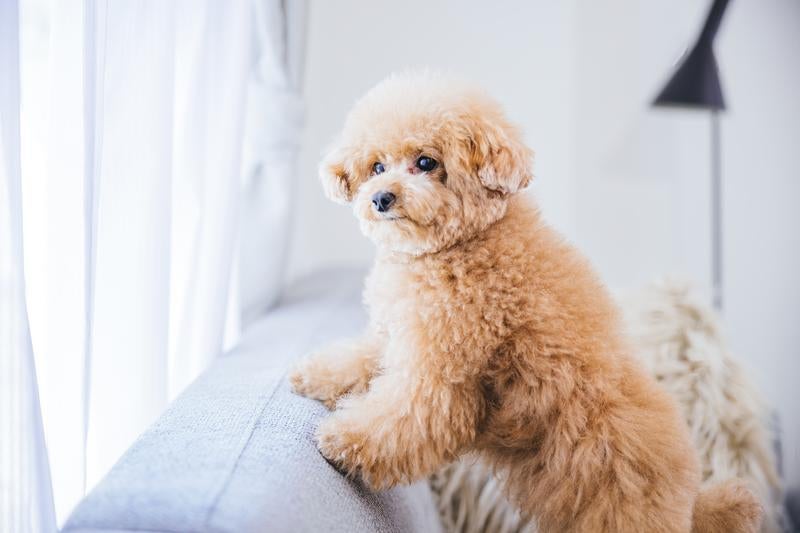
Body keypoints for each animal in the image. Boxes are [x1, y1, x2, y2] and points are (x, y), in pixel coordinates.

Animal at [290, 71, 764, 532]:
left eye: (426, 162)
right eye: (376, 166)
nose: (380, 198)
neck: (461, 245)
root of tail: (692, 501)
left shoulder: (441, 371)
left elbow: (403, 416)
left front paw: (342, 440)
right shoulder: (402, 338)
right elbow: (358, 359)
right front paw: (312, 375)